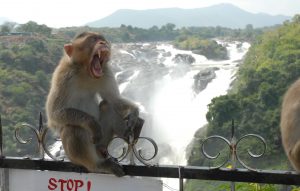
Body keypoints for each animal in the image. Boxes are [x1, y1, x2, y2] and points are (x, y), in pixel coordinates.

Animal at [45, 31, 139, 176]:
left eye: (101, 38)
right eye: (93, 39)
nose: (103, 43)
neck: (85, 71)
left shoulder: (106, 72)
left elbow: (113, 99)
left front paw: (134, 112)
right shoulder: (63, 75)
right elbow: (54, 114)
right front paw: (92, 123)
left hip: (102, 143)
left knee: (107, 105)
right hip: (81, 153)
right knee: (74, 128)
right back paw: (98, 166)